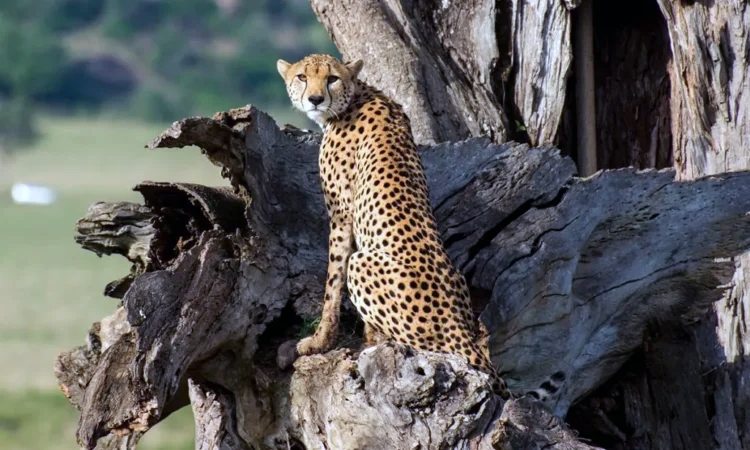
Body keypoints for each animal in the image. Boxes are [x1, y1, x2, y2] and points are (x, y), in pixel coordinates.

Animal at [280, 53, 516, 398]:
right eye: (301, 77)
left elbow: (332, 283)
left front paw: (318, 341)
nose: (315, 99)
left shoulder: (341, 215)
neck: (356, 95)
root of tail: (458, 327)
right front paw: (363, 338)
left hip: (362, 264)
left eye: (332, 78)